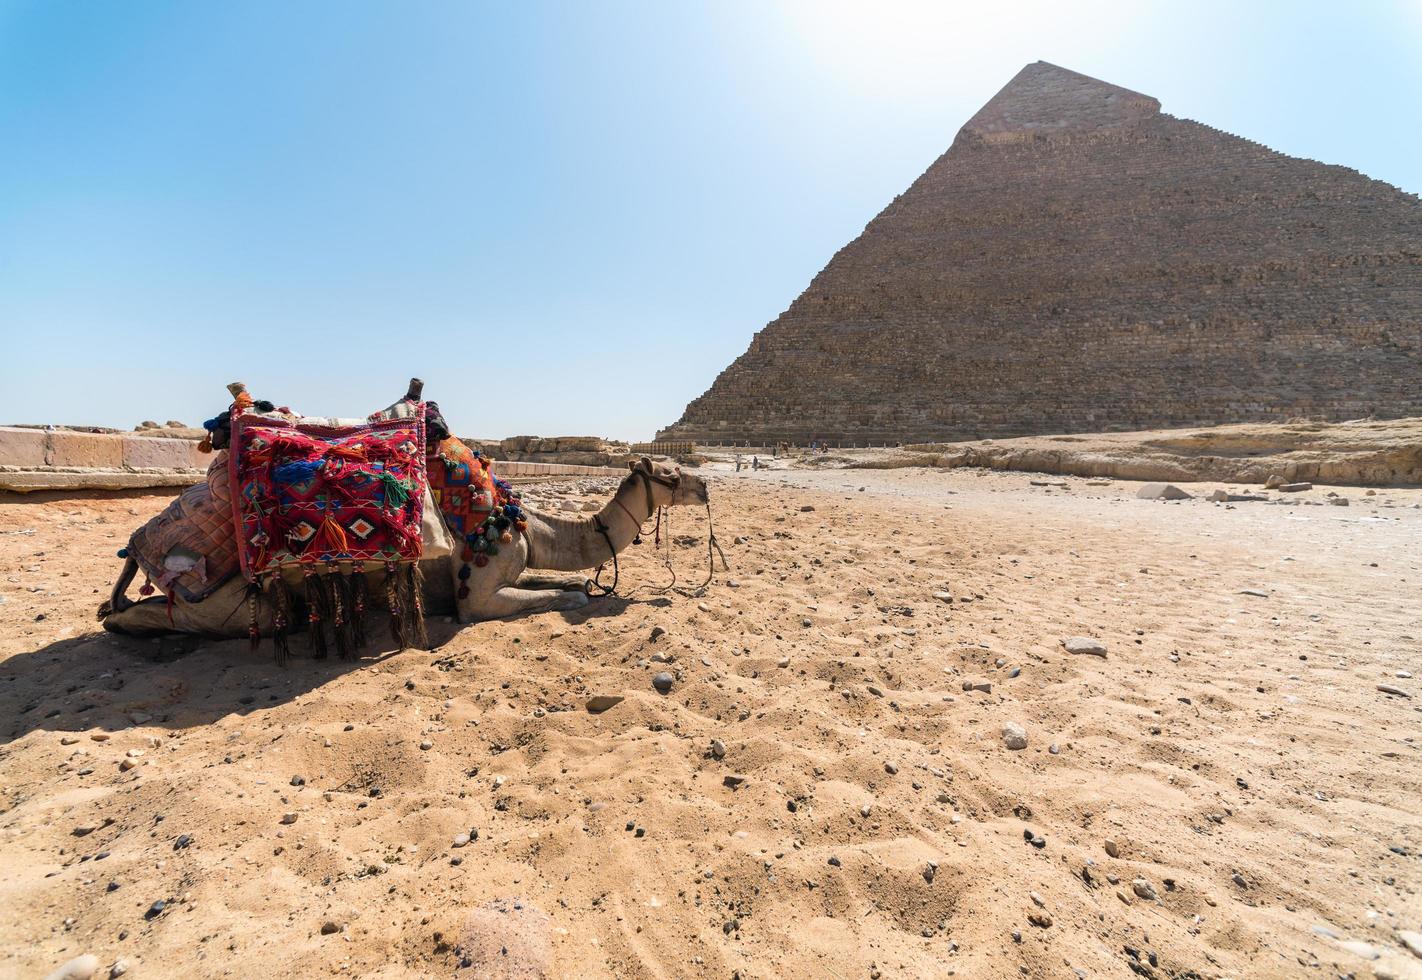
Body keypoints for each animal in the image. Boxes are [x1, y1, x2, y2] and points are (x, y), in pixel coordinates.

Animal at [97, 457, 708, 642]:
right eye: (672, 476)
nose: (704, 486)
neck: (530, 526)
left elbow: (568, 584)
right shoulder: (477, 594)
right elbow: (568, 597)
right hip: (230, 600)